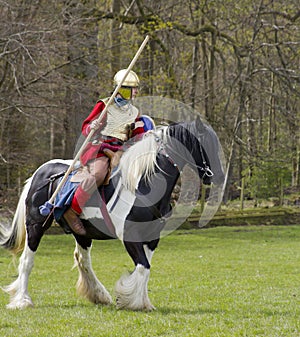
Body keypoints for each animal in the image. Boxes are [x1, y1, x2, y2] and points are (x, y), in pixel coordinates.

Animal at [0, 116, 225, 310]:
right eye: (205, 144)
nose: (219, 176)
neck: (144, 183)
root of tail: (39, 173)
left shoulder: (152, 238)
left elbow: (146, 269)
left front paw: (142, 302)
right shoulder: (130, 237)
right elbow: (143, 267)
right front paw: (130, 301)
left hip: (82, 232)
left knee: (83, 260)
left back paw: (99, 295)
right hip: (36, 225)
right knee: (27, 261)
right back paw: (23, 300)